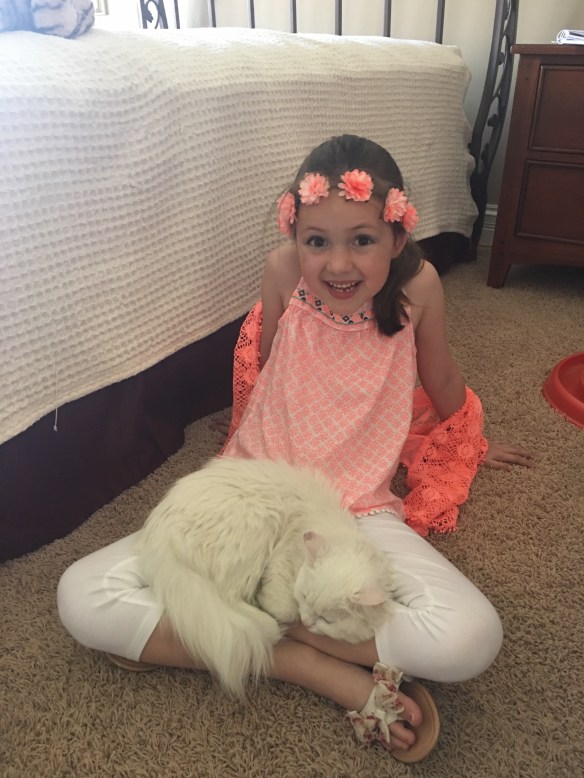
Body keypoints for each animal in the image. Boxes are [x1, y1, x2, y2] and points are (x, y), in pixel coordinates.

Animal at [137, 456, 396, 697]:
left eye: (327, 620)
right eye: (304, 597)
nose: (306, 623)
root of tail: (158, 537)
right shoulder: (281, 563)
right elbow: (285, 608)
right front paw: (279, 611)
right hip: (257, 528)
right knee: (230, 597)